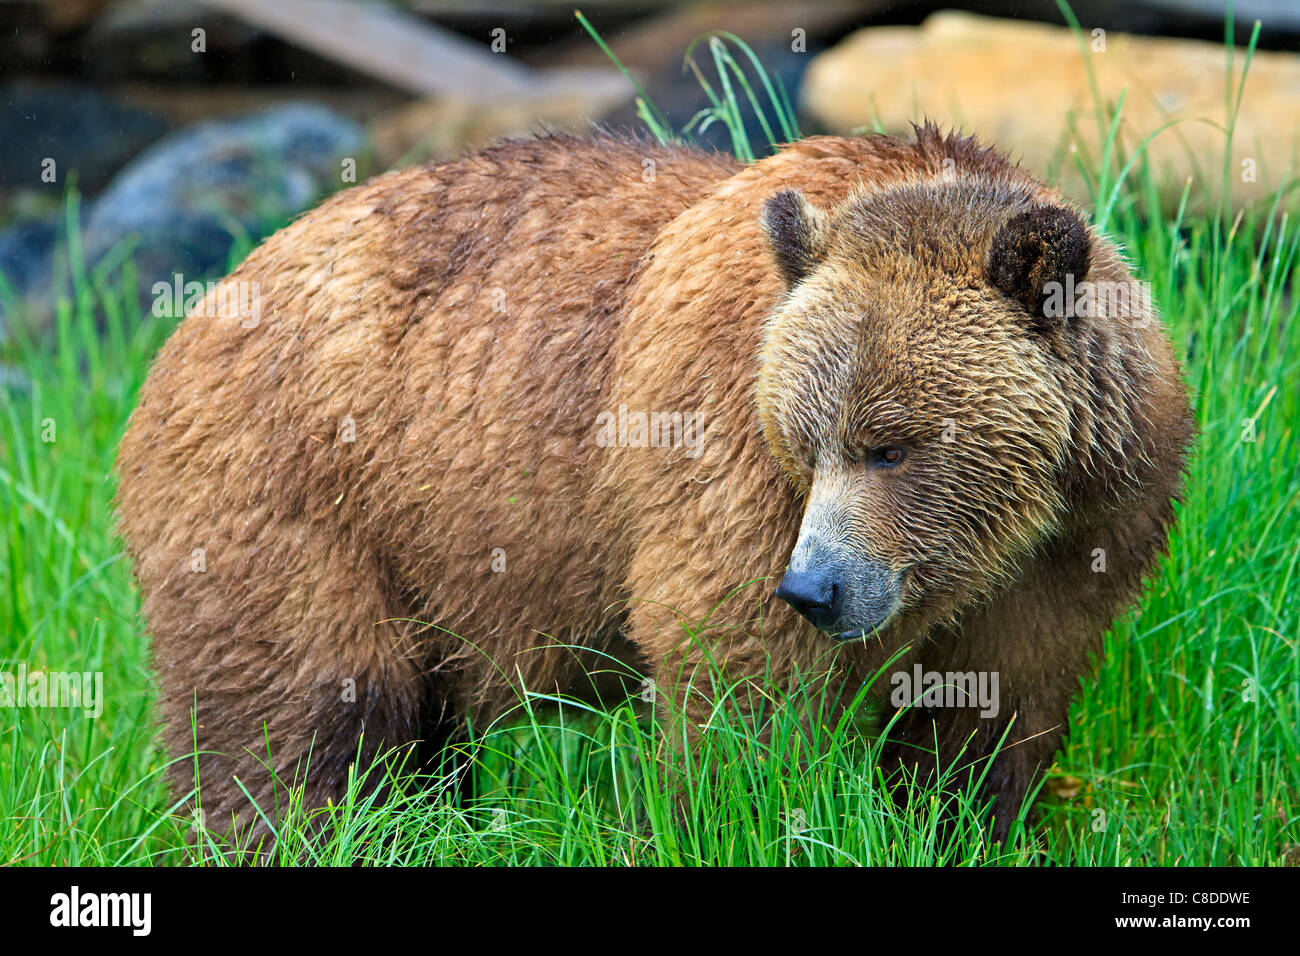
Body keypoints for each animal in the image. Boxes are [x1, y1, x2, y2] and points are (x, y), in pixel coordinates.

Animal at [116, 125, 1190, 842]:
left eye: (890, 446)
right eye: (809, 442)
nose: (817, 586)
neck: (1004, 530)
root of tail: (196, 312)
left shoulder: (1083, 540)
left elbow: (993, 710)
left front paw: (962, 821)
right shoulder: (726, 449)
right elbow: (733, 668)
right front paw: (736, 815)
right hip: (302, 492)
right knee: (298, 715)